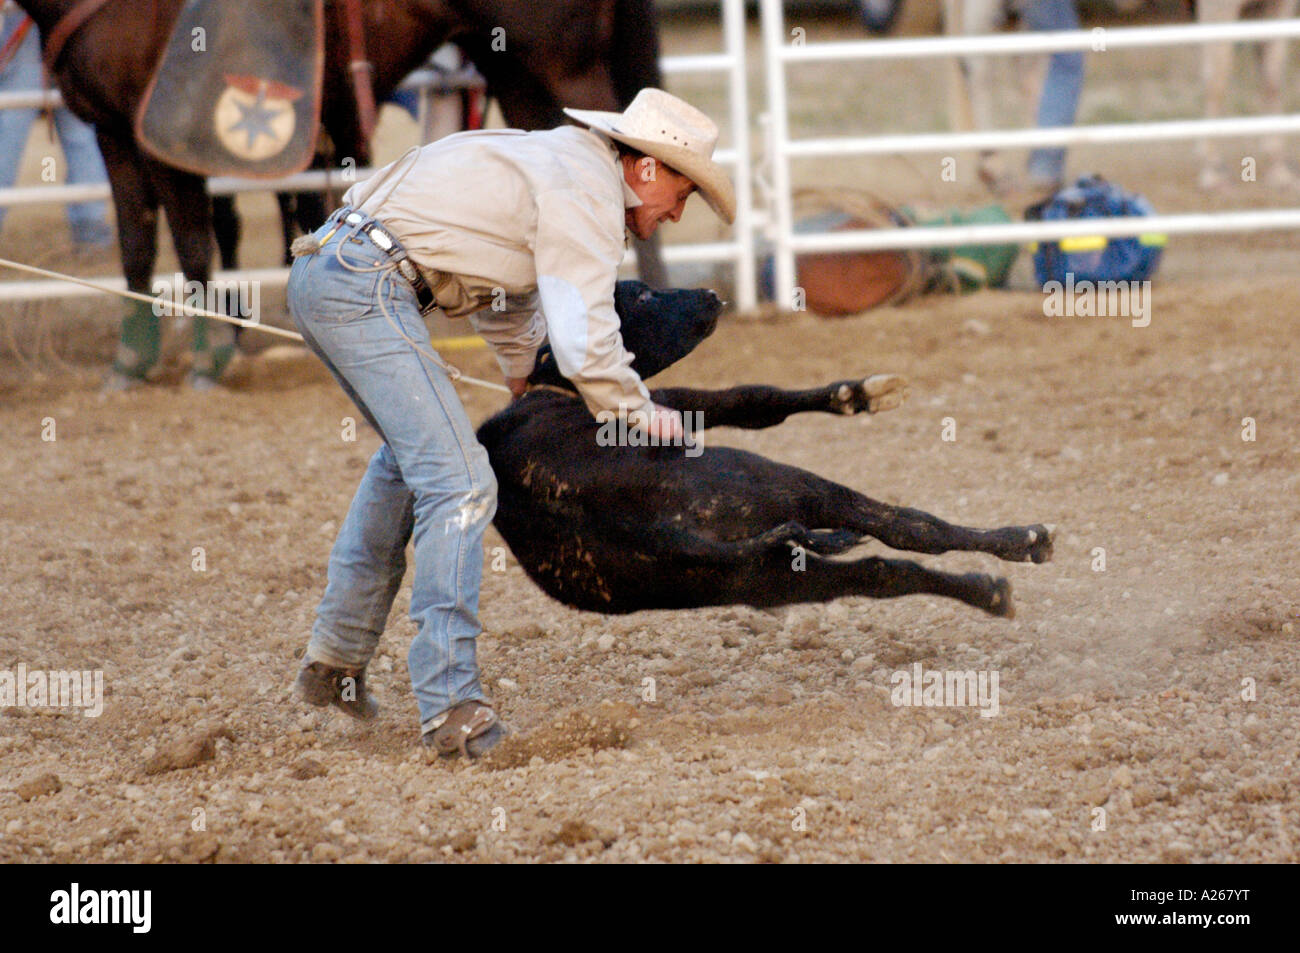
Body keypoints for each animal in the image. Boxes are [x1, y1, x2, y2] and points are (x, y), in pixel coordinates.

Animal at [20, 0, 665, 387]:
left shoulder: (164, 143)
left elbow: (193, 246)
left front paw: (207, 361)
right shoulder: (112, 133)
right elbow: (135, 245)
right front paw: (129, 362)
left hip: (561, 58)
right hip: (509, 63)